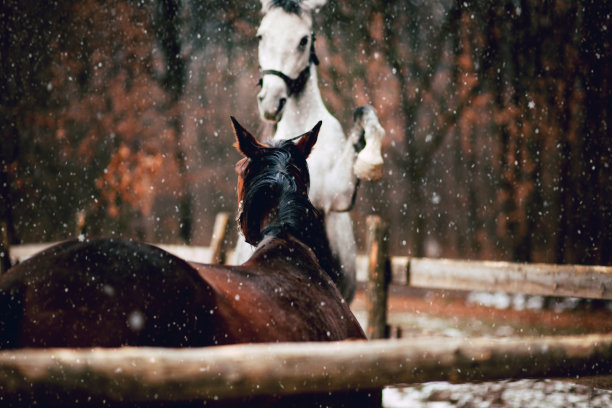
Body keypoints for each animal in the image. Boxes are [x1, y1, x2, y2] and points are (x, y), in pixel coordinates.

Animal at [232, 0, 384, 302]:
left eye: (303, 40)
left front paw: (370, 161)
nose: (271, 101)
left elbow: (364, 111)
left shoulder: (339, 195)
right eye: (261, 36)